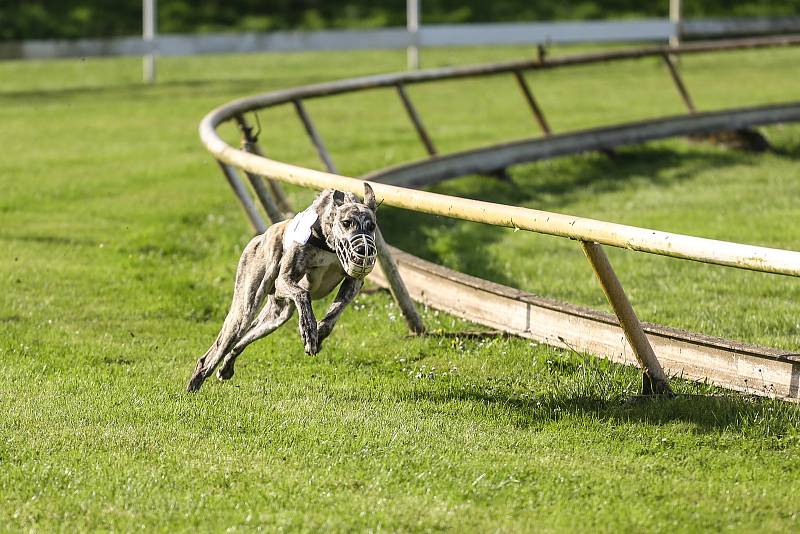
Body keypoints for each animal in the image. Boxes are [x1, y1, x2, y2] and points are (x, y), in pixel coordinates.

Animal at [188, 184, 378, 394]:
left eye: (372, 226)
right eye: (346, 222)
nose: (364, 250)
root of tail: (259, 238)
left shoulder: (354, 282)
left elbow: (334, 313)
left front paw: (319, 333)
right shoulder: (284, 281)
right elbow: (303, 294)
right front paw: (308, 330)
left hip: (277, 315)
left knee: (242, 339)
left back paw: (226, 368)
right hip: (244, 312)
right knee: (216, 351)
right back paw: (194, 384)